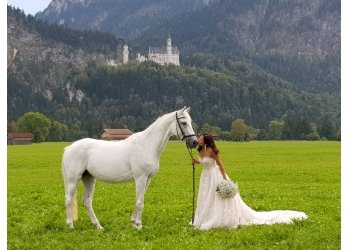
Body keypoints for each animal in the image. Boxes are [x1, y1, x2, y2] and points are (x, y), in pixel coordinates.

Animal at [61, 106, 196, 229]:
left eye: (190, 122)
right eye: (183, 123)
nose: (194, 142)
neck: (147, 145)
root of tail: (68, 148)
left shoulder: (147, 179)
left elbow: (139, 200)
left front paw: (134, 222)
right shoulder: (140, 178)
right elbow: (140, 202)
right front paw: (139, 225)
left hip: (89, 178)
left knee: (87, 201)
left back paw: (98, 226)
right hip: (74, 180)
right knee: (68, 199)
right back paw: (70, 225)